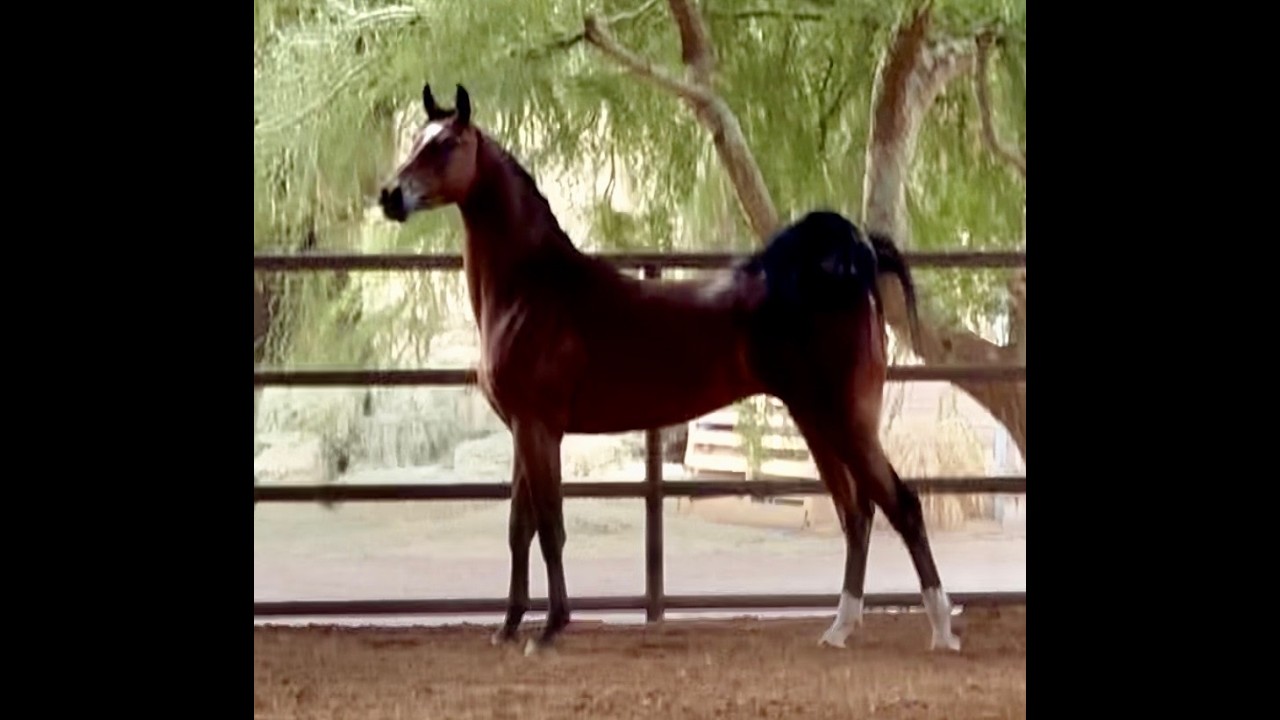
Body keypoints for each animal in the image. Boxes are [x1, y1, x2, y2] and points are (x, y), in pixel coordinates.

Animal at [376, 83, 960, 656]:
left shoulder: (539, 428)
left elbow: (550, 527)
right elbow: (520, 529)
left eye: (446, 144)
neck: (535, 292)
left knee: (902, 505)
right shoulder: (524, 430)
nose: (390, 196)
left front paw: (550, 629)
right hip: (816, 421)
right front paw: (509, 625)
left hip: (845, 421)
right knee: (856, 514)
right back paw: (840, 627)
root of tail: (849, 270)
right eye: (416, 139)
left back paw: (940, 630)